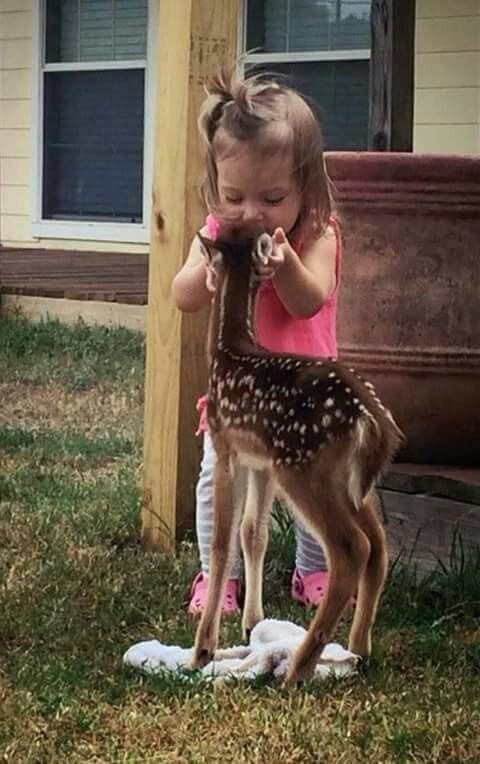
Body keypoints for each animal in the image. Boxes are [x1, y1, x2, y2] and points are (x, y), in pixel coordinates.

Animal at [189, 225, 404, 680]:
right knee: (379, 544)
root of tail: (372, 418)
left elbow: (222, 542)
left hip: (302, 466)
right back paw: (358, 647)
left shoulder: (227, 446)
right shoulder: (261, 461)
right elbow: (253, 532)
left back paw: (300, 668)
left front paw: (203, 650)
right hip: (347, 480)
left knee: (353, 547)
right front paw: (252, 622)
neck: (229, 347)